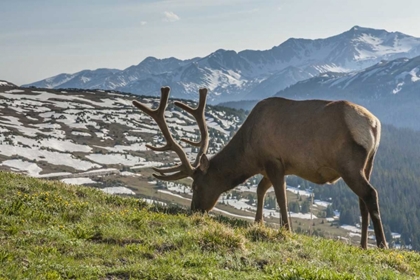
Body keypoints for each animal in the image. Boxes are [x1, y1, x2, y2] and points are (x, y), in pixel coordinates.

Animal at [134, 86, 388, 248]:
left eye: (196, 186)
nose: (194, 210)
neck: (249, 153)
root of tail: (374, 125)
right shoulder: (270, 167)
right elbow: (260, 190)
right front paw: (258, 223)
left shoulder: (273, 161)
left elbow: (281, 197)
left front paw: (286, 229)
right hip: (369, 163)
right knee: (362, 201)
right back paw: (363, 245)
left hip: (348, 163)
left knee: (370, 194)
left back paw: (382, 244)